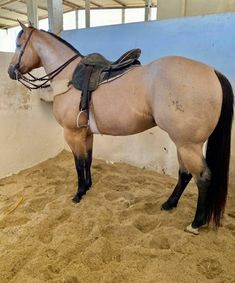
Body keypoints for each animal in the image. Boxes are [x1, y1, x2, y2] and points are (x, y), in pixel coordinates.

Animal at [7, 22, 233, 235]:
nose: (10, 71)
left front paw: (78, 194)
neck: (68, 78)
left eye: (19, 45)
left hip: (188, 145)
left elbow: (79, 163)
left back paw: (196, 223)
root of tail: (213, 72)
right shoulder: (86, 133)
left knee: (203, 178)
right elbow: (88, 160)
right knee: (184, 174)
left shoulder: (72, 133)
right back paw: (169, 204)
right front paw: (88, 187)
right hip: (183, 144)